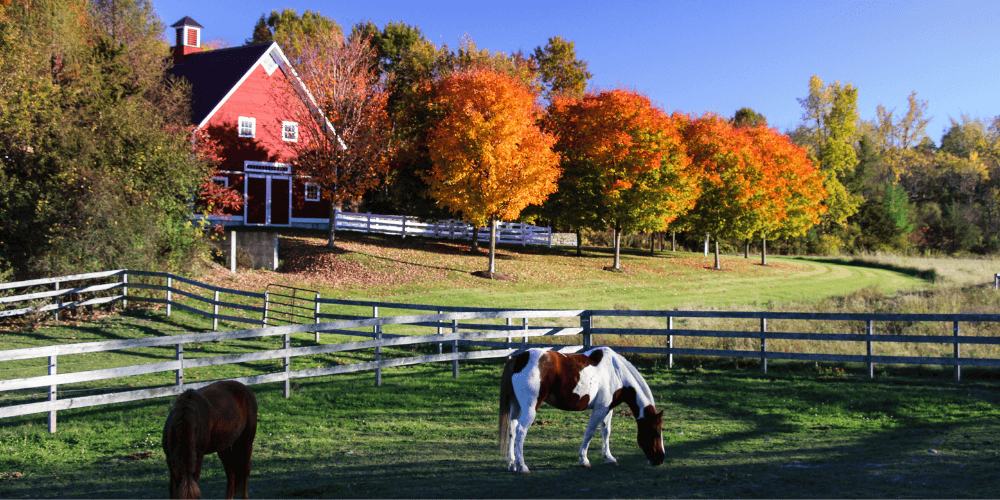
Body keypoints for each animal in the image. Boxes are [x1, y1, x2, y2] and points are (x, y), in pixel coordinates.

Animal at [498, 346, 664, 474]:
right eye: (655, 432)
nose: (660, 459)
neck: (616, 372)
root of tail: (519, 359)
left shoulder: (608, 409)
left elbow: (606, 431)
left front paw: (608, 457)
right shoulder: (600, 409)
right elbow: (590, 432)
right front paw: (583, 459)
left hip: (516, 406)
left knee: (512, 430)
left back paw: (512, 464)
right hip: (530, 409)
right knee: (520, 431)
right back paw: (522, 466)